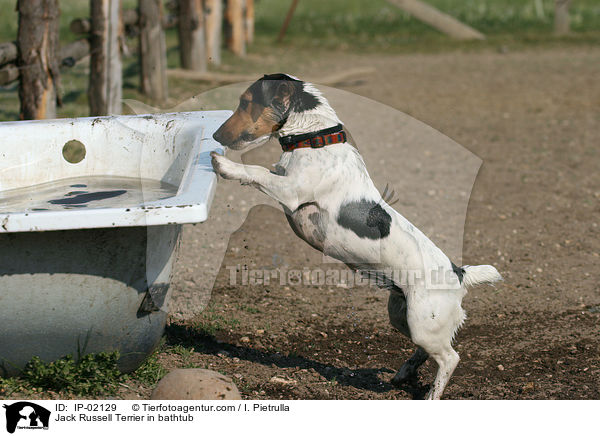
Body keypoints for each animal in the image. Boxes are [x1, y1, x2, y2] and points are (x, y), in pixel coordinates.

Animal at [211, 73, 502, 400]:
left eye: (246, 102)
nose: (215, 135)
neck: (314, 140)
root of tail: (460, 273)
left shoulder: (291, 191)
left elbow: (256, 171)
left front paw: (224, 165)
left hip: (422, 321)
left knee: (450, 358)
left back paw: (431, 395)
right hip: (403, 316)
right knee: (427, 351)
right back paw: (404, 373)